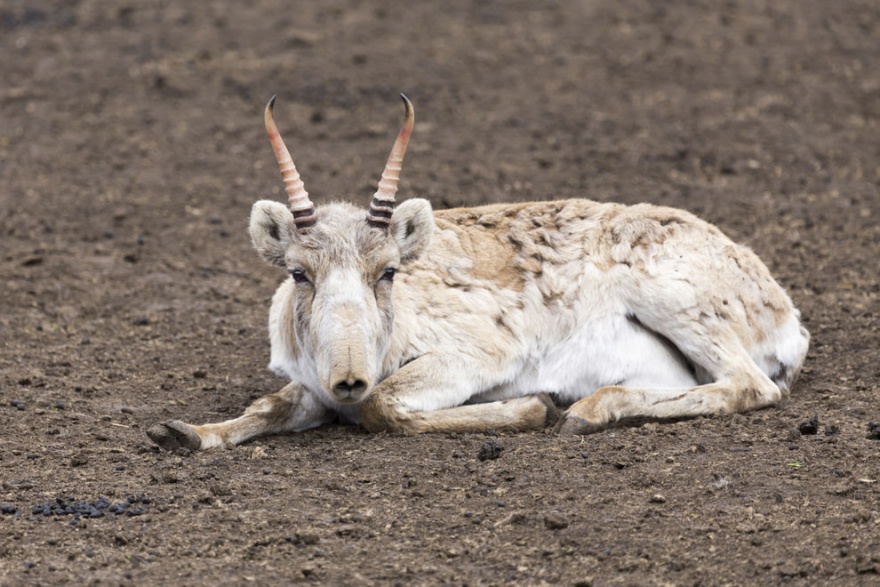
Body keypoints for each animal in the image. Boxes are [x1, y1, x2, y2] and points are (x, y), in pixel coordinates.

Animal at [146, 96, 812, 452]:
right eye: (299, 274)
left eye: (388, 272)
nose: (348, 377)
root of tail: (786, 314)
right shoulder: (309, 383)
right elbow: (268, 406)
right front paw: (185, 432)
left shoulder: (481, 352)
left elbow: (383, 405)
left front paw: (533, 406)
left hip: (671, 299)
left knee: (752, 385)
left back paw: (585, 408)